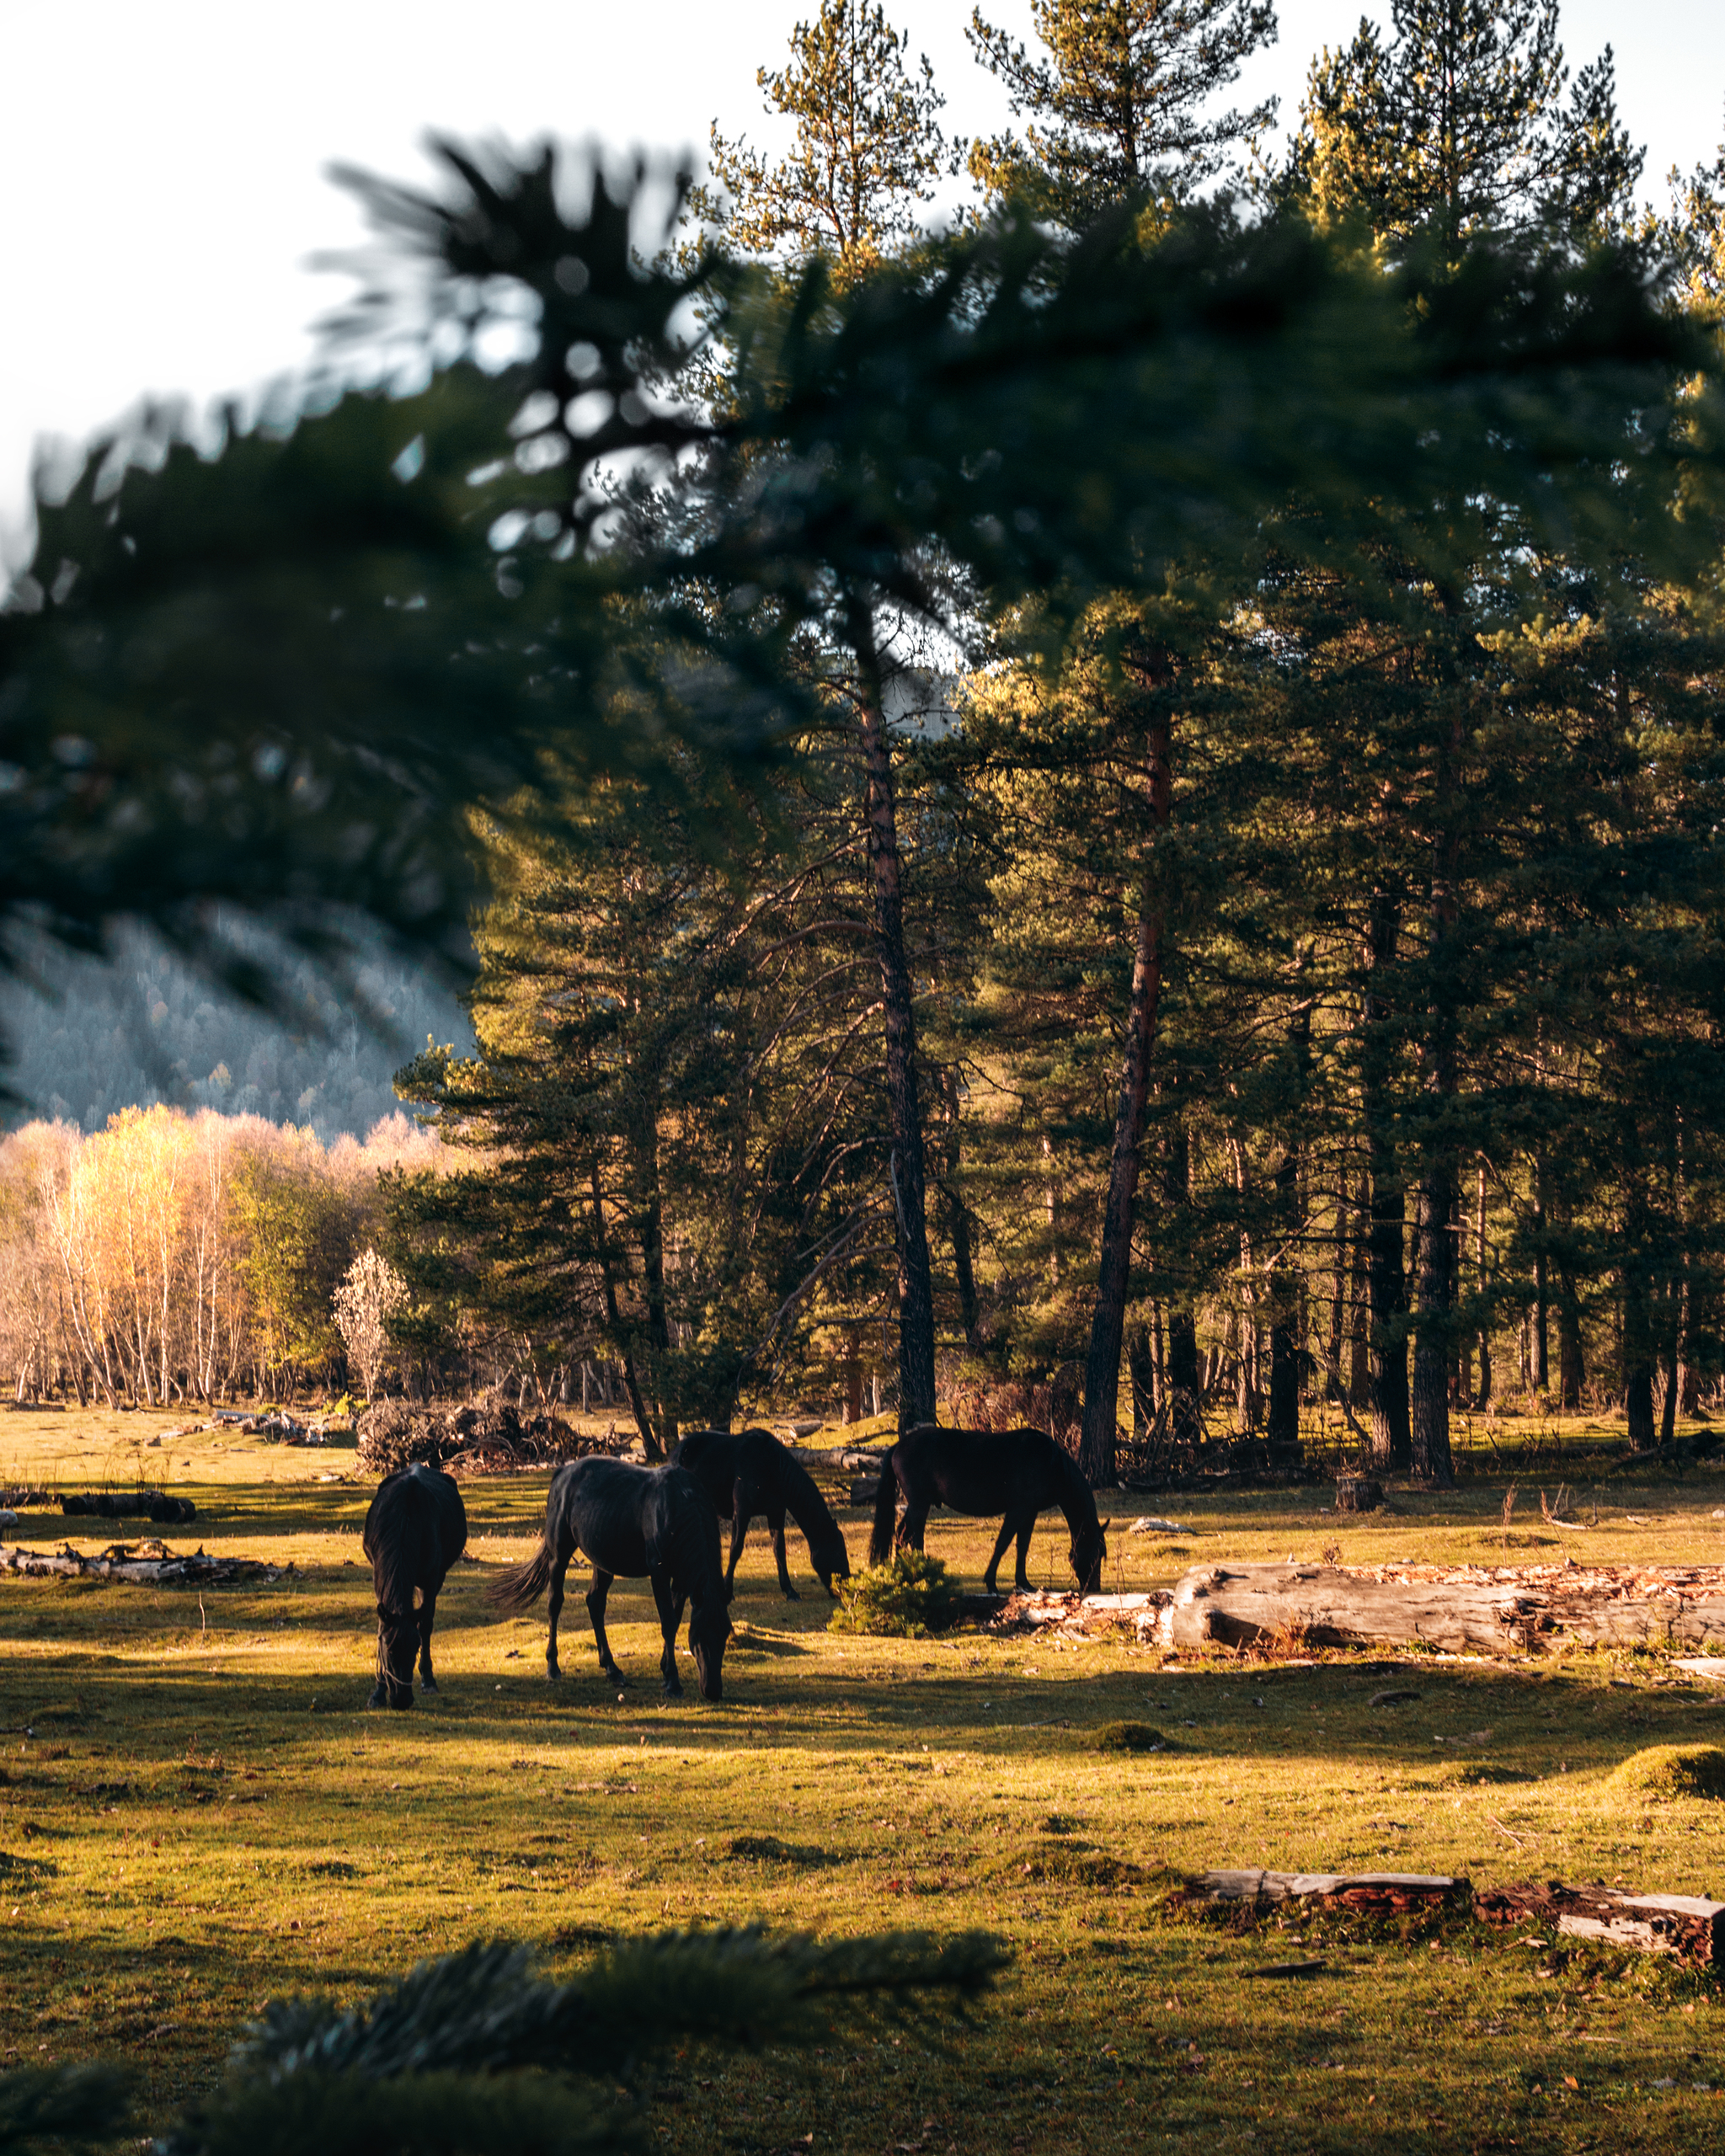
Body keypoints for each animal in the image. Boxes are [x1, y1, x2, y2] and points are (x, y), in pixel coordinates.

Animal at [364, 1457, 467, 1707]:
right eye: (388, 1649)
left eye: (415, 1648)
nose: (402, 1700)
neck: (406, 1518)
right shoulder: (379, 1578)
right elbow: (381, 1626)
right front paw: (378, 1691)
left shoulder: (431, 1581)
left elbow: (425, 1625)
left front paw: (428, 1679)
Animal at [871, 1422, 1112, 1595]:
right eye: (1096, 1554)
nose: (1094, 1587)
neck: (1049, 1462)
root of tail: (898, 1446)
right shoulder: (1017, 1510)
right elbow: (1003, 1543)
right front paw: (992, 1583)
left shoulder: (1030, 1512)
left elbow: (1023, 1546)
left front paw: (1024, 1583)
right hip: (920, 1504)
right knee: (915, 1539)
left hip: (917, 1504)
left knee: (902, 1534)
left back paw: (902, 1573)